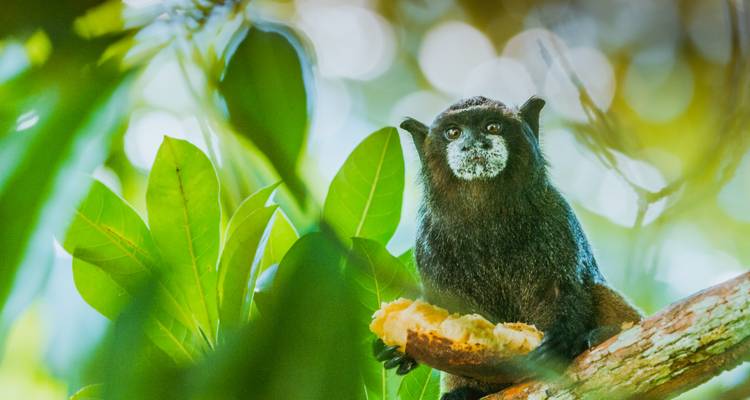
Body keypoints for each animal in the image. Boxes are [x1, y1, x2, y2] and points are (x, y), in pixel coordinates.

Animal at [374, 96, 642, 400]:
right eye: (453, 132)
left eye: (492, 127)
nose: (473, 143)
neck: (487, 217)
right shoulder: (427, 242)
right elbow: (446, 308)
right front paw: (401, 352)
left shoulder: (557, 217)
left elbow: (564, 288)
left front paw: (560, 341)